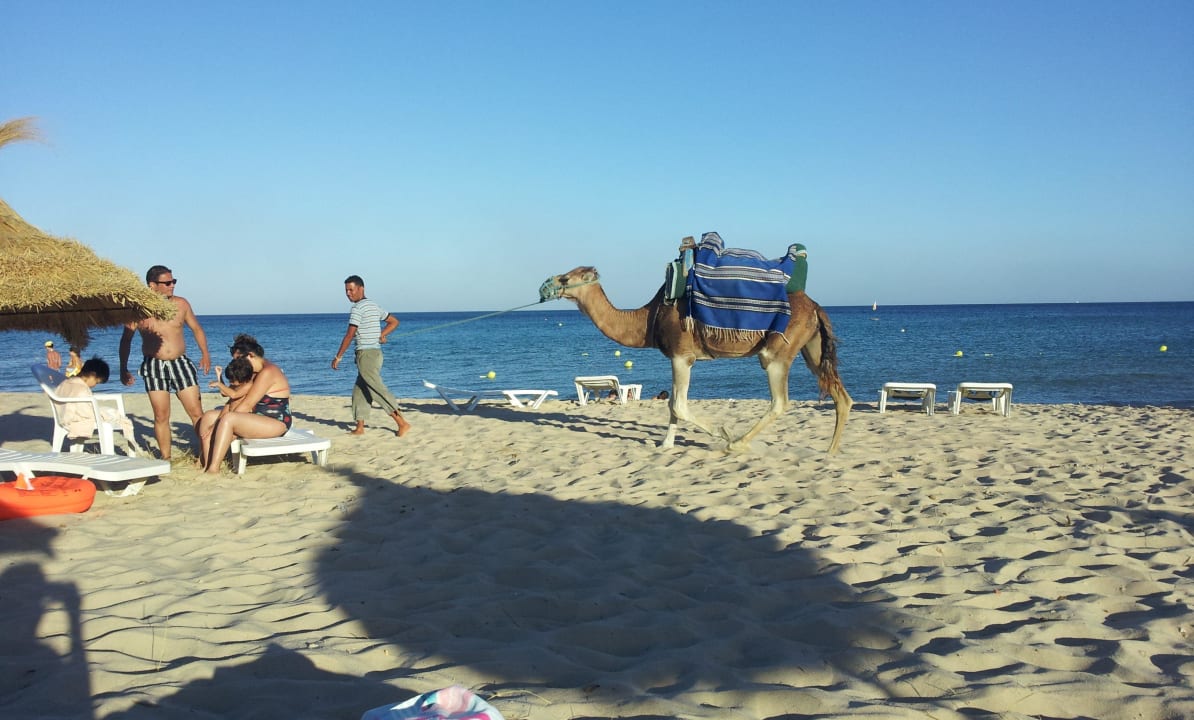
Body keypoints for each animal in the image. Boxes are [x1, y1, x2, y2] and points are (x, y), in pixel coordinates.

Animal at [540, 267, 853, 453]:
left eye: (566, 279)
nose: (545, 284)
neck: (649, 319)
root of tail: (816, 306)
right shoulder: (677, 357)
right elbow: (672, 404)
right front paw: (665, 445)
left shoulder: (683, 355)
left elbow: (678, 404)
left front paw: (722, 432)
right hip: (810, 346)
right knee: (840, 394)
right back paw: (830, 452)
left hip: (776, 352)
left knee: (779, 401)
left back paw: (737, 444)